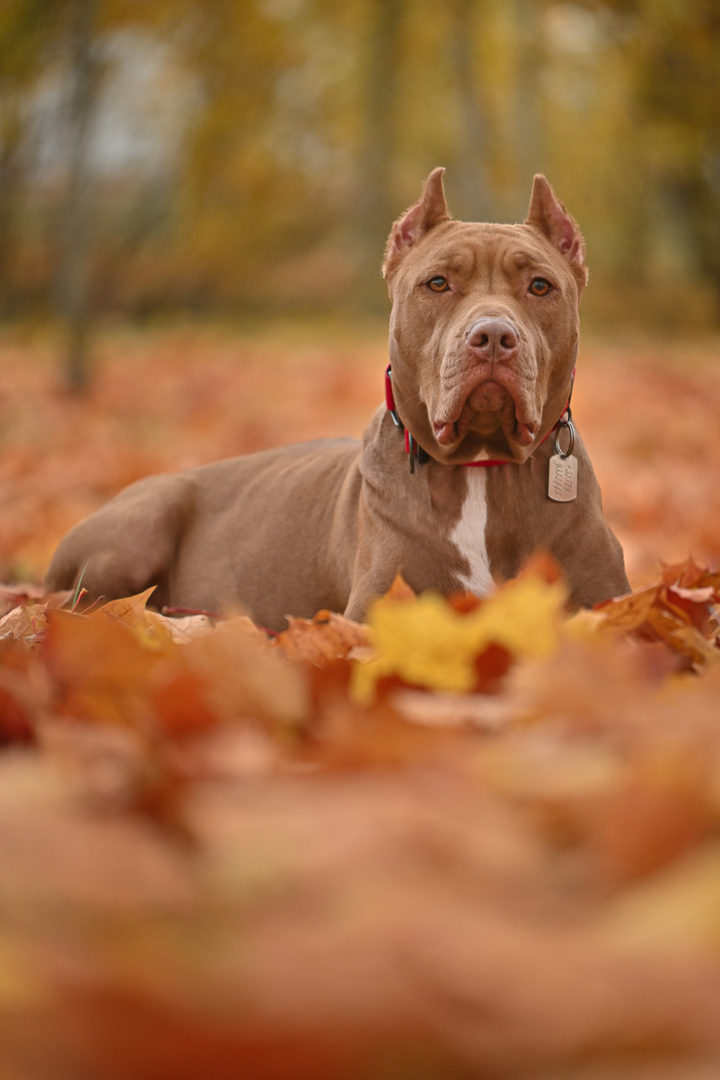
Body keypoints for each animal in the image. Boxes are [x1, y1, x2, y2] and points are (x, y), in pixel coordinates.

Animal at [46, 171, 630, 630]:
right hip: (141, 524)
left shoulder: (610, 600)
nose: (492, 336)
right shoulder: (375, 609)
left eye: (540, 287)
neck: (482, 468)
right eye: (438, 283)